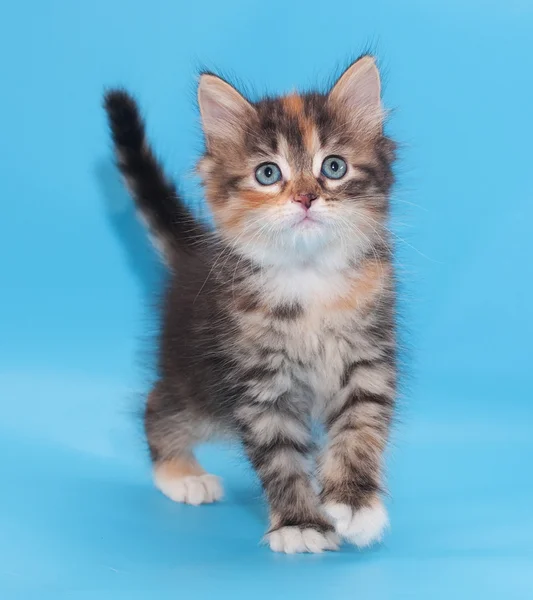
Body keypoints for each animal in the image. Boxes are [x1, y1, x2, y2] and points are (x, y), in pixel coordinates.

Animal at [103, 56, 394, 552]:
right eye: (268, 174)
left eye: (334, 167)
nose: (306, 197)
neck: (307, 275)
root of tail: (194, 253)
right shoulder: (258, 379)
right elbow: (280, 454)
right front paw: (300, 523)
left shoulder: (367, 357)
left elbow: (360, 427)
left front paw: (355, 504)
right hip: (197, 383)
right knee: (157, 406)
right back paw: (181, 475)